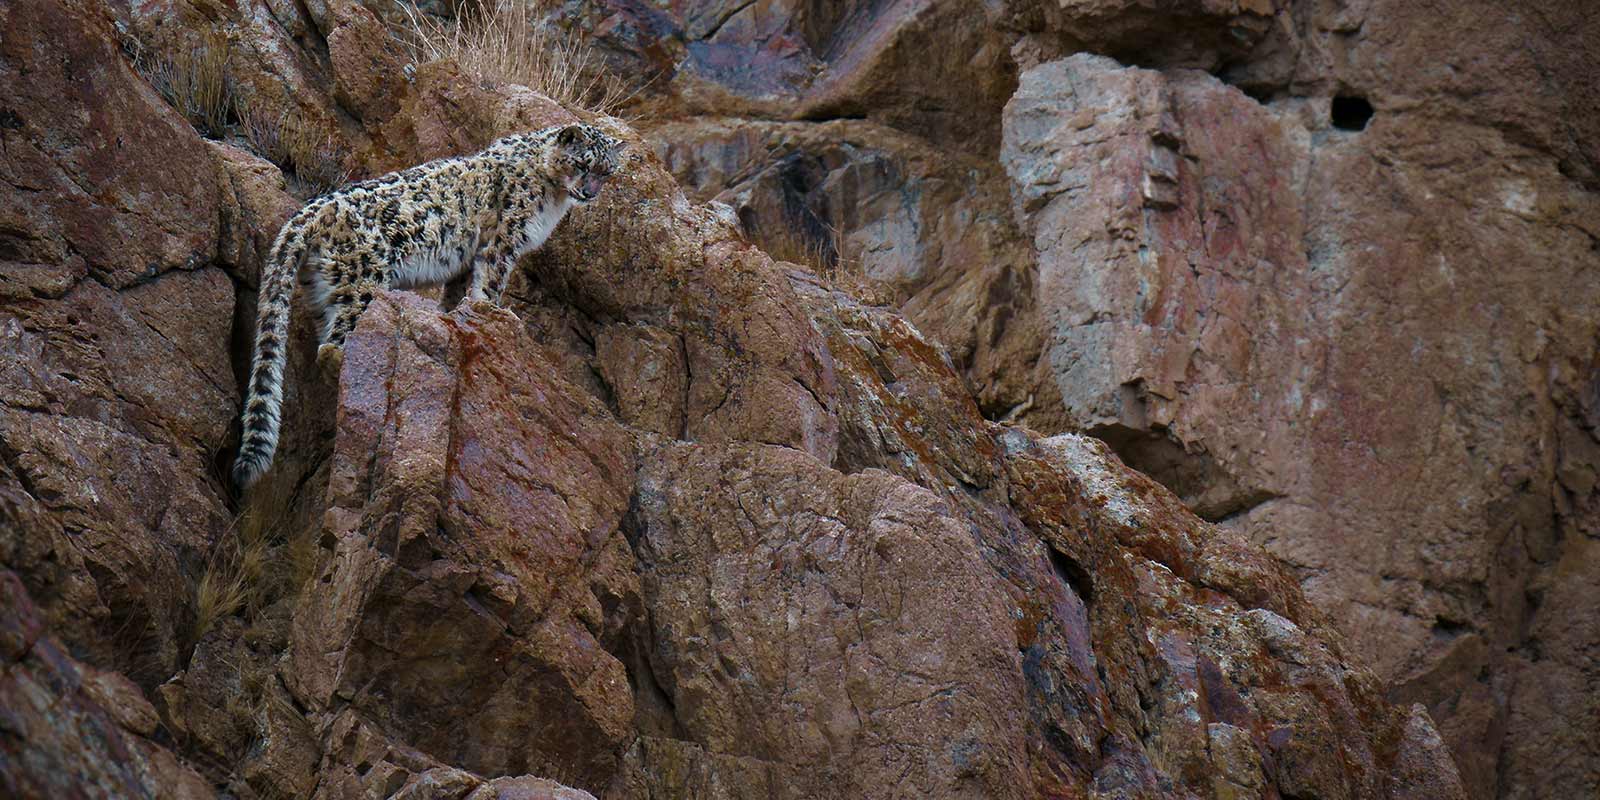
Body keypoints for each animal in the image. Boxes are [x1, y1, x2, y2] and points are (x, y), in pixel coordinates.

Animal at [231, 122, 624, 490]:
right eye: (582, 162)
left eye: (606, 171)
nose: (589, 193)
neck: (553, 195)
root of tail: (310, 211)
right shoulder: (503, 240)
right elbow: (490, 284)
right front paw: (498, 314)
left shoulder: (465, 262)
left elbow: (458, 294)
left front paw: (456, 316)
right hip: (364, 282)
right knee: (335, 342)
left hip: (324, 290)